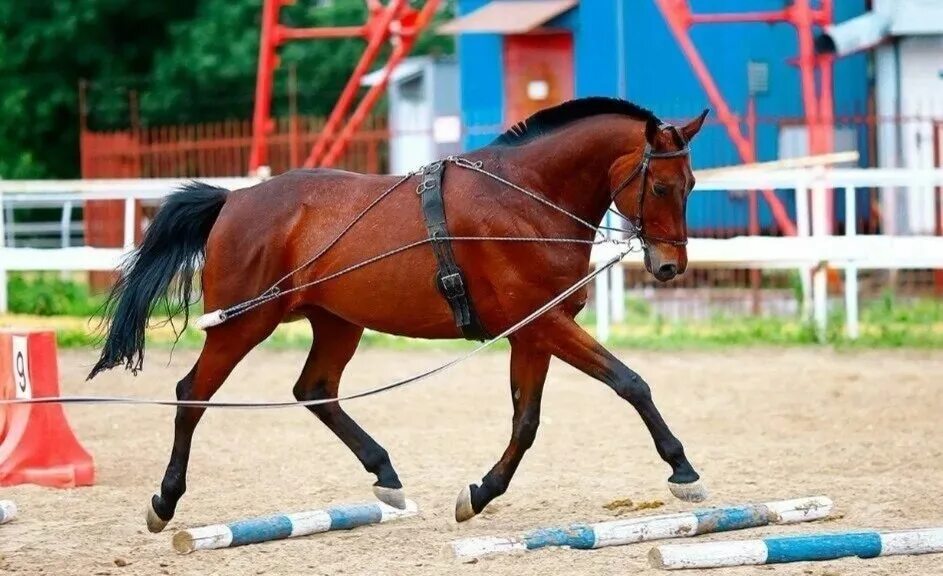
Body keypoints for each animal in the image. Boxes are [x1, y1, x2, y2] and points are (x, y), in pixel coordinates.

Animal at [90, 98, 708, 532]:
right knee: (192, 394)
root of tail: (235, 200)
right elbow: (630, 382)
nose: (670, 266)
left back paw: (384, 474)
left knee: (315, 390)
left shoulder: (532, 335)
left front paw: (479, 493)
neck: (526, 197)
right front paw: (682, 471)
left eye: (692, 183)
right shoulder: (545, 323)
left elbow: (526, 422)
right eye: (660, 184)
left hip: (337, 322)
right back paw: (165, 501)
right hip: (244, 324)